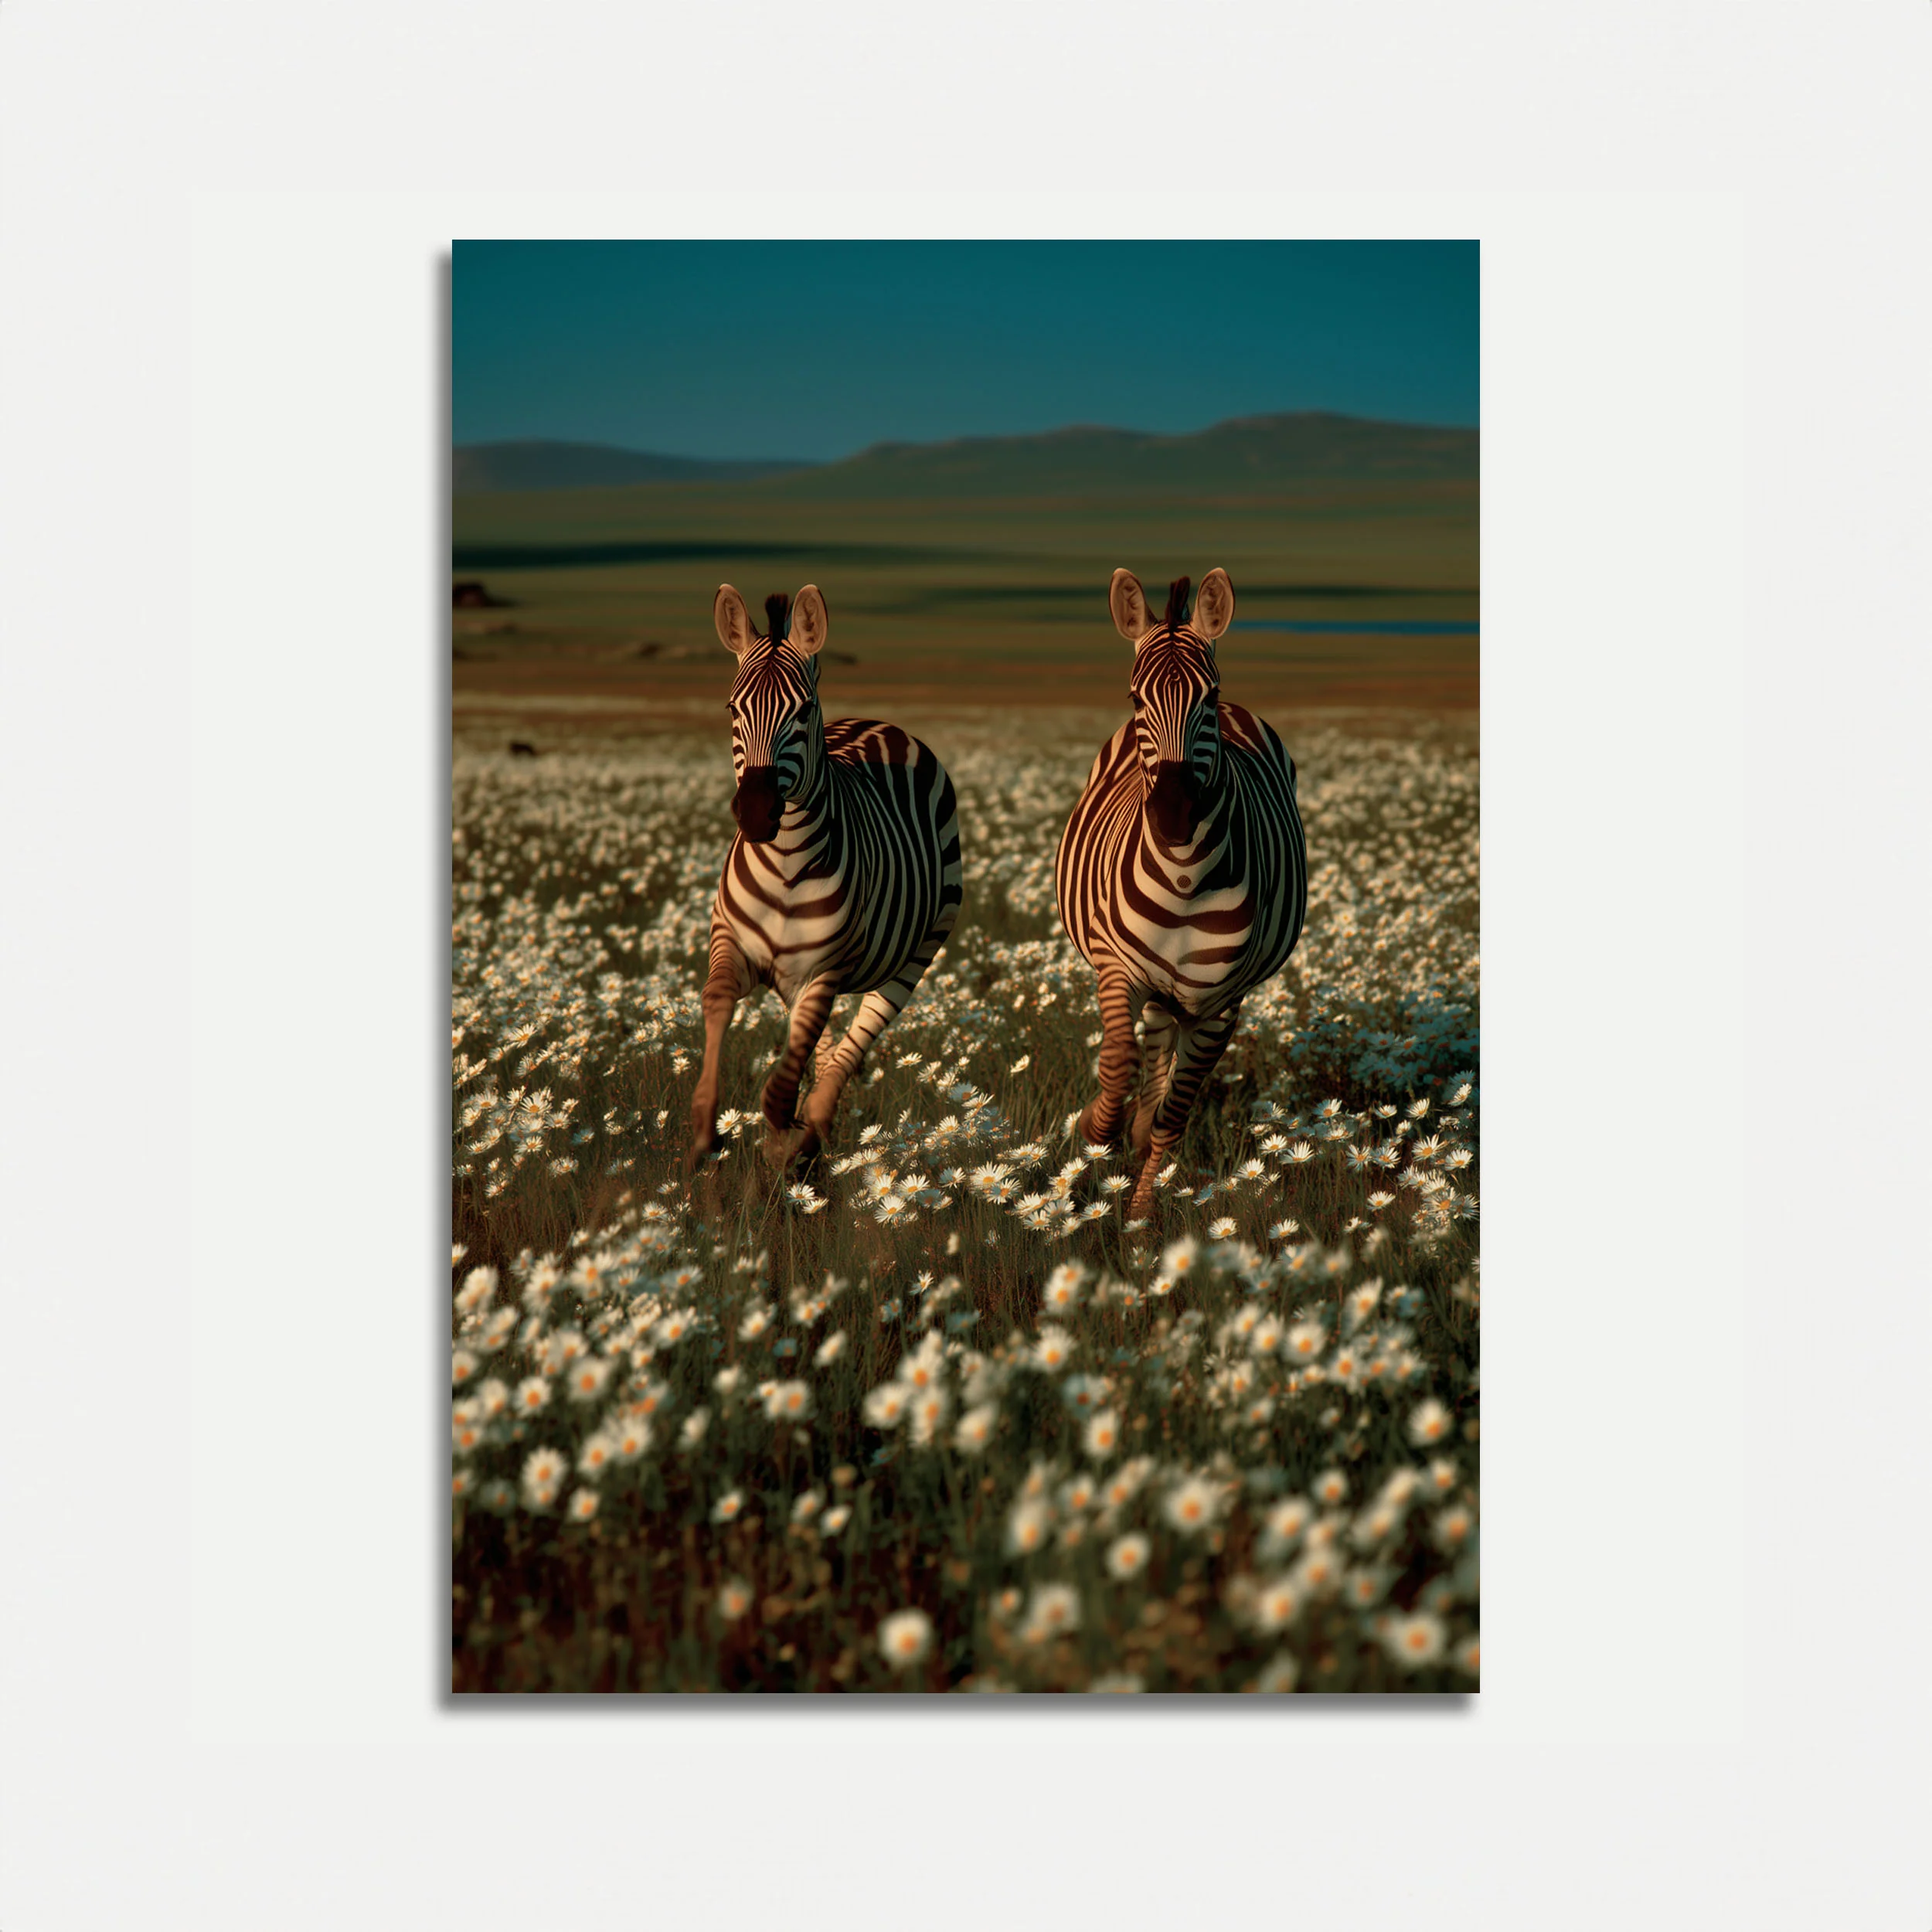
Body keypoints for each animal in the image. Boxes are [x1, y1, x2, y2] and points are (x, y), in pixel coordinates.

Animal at [687, 583, 963, 1174]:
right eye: (732, 708)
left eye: (803, 710)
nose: (756, 814)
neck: (787, 862)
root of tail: (884, 725)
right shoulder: (732, 944)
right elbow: (717, 1003)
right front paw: (704, 1126)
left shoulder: (824, 972)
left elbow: (780, 1088)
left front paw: (782, 1150)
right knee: (828, 1047)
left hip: (916, 953)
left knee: (851, 1044)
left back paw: (810, 1134)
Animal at [1055, 568, 1307, 1221]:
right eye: (1135, 699)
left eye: (1209, 699)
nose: (1172, 817)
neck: (1185, 879)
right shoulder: (1118, 968)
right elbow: (1117, 1067)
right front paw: (1089, 1144)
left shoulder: (1221, 1003)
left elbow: (1174, 1116)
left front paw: (1140, 1220)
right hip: (1151, 986)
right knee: (1146, 1054)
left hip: (1186, 999)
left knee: (1163, 1081)